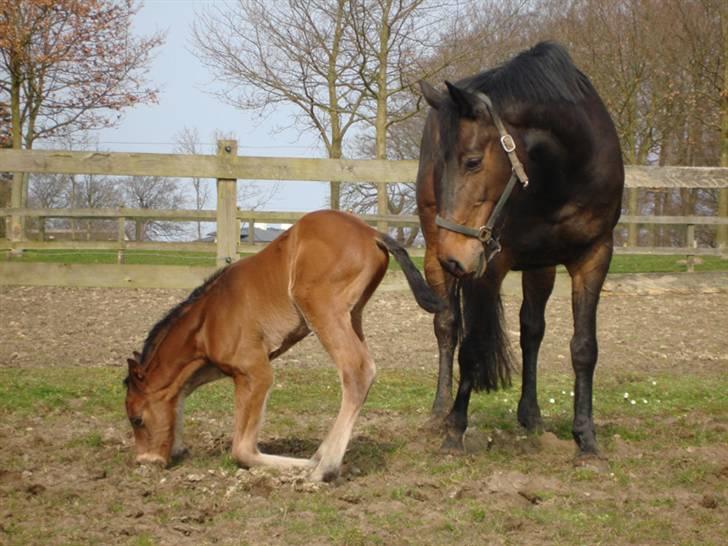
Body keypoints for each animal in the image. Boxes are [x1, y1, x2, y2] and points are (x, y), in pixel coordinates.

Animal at [124, 209, 440, 480]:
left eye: (137, 419)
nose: (146, 461)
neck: (208, 318)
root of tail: (371, 232)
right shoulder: (218, 366)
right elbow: (181, 390)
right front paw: (178, 447)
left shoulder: (255, 369)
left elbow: (242, 450)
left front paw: (301, 464)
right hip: (353, 315)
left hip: (321, 308)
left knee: (357, 369)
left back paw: (323, 467)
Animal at [416, 42, 624, 452]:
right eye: (439, 166)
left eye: (472, 161)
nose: (454, 255)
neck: (561, 173)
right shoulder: (488, 262)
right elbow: (471, 346)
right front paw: (454, 431)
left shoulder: (595, 254)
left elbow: (583, 347)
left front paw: (586, 438)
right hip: (439, 256)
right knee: (447, 326)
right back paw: (440, 409)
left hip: (538, 266)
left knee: (531, 330)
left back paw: (531, 415)